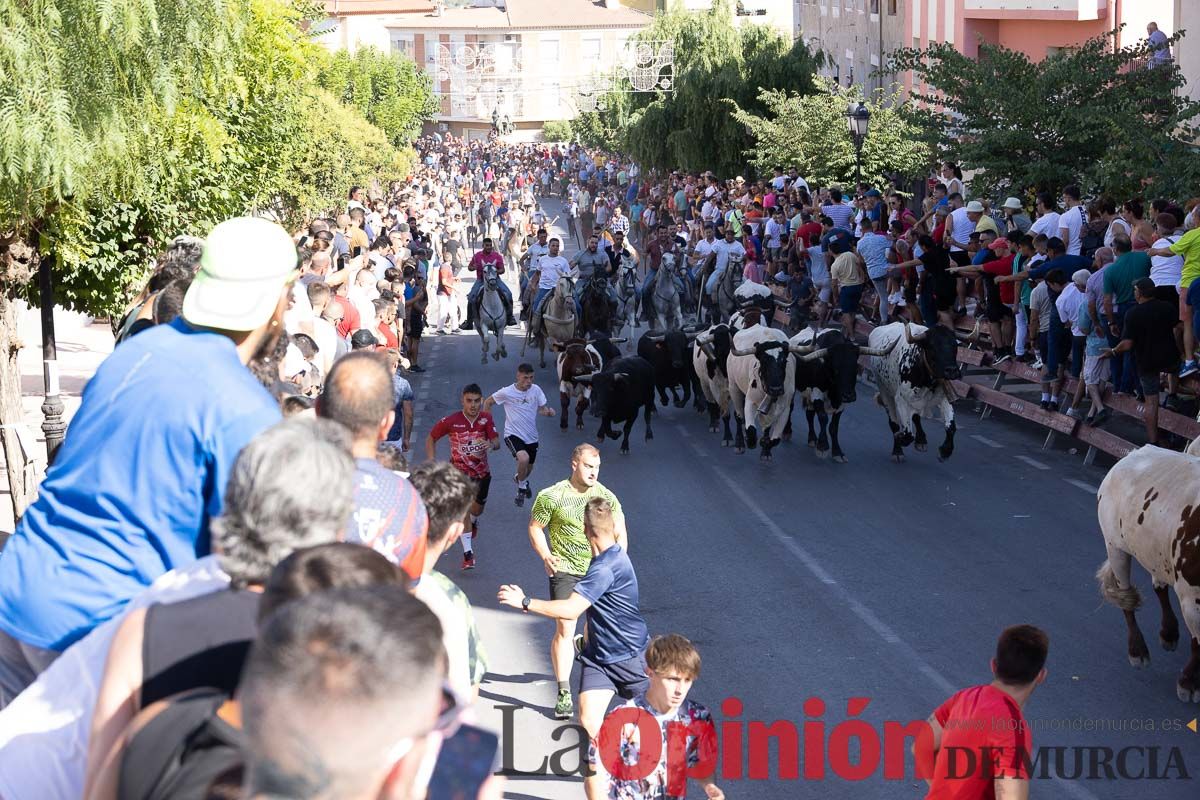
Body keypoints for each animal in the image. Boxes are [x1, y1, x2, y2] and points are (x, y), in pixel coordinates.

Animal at [720, 326, 806, 462]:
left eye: (784, 361)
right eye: (764, 361)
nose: (776, 389)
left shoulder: (785, 408)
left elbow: (774, 439)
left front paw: (765, 448)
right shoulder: (750, 400)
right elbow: (750, 429)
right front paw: (750, 441)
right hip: (734, 387)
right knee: (738, 416)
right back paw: (739, 444)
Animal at [782, 326, 897, 462]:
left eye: (855, 369)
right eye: (835, 369)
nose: (849, 396)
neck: (834, 393)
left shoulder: (841, 403)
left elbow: (834, 427)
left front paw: (837, 452)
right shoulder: (817, 393)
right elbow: (823, 418)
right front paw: (823, 447)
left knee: (809, 414)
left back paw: (812, 438)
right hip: (793, 387)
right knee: (791, 407)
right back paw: (787, 432)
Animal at [864, 321, 964, 462]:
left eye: (954, 346)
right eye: (932, 346)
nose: (952, 370)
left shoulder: (944, 398)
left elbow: (951, 427)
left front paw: (945, 451)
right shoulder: (901, 399)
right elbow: (907, 434)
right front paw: (900, 440)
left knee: (916, 417)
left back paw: (921, 440)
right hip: (884, 391)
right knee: (894, 423)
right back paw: (898, 451)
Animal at [1099, 441, 1200, 705]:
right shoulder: (1192, 597)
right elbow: (1198, 644)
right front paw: (1188, 684)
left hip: (1157, 550)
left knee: (1159, 585)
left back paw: (1169, 632)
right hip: (1115, 546)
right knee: (1126, 597)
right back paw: (1138, 651)